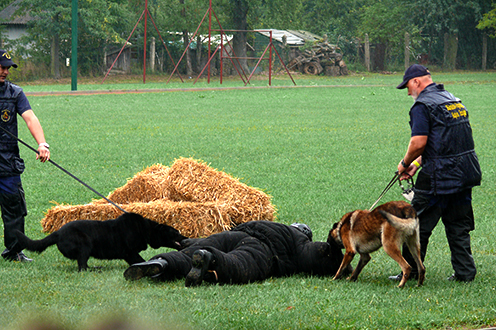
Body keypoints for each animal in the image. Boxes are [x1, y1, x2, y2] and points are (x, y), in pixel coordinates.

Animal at [15, 211, 187, 270]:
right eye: (177, 232)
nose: (187, 238)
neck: (145, 229)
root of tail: (57, 232)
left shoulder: (129, 254)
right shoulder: (130, 252)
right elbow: (141, 260)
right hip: (85, 245)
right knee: (82, 267)